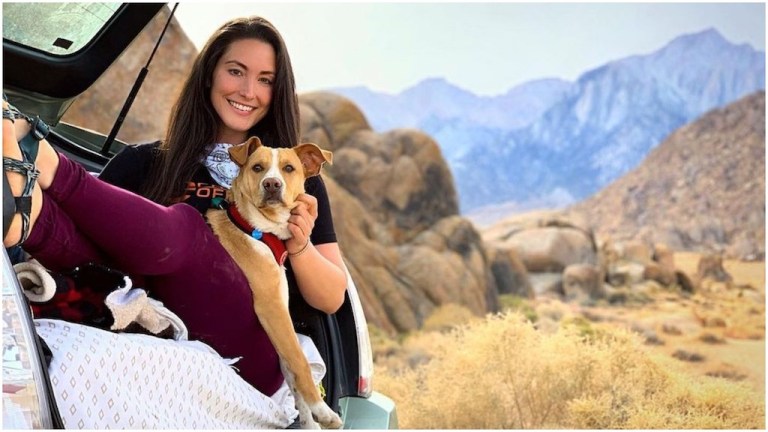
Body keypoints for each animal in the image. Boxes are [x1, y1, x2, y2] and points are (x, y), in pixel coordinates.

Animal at [208, 136, 344, 428]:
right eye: (257, 168)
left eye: (289, 168)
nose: (272, 184)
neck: (256, 230)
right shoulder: (273, 309)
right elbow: (300, 361)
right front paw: (322, 410)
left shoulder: (279, 319)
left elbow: (291, 373)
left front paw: (309, 421)